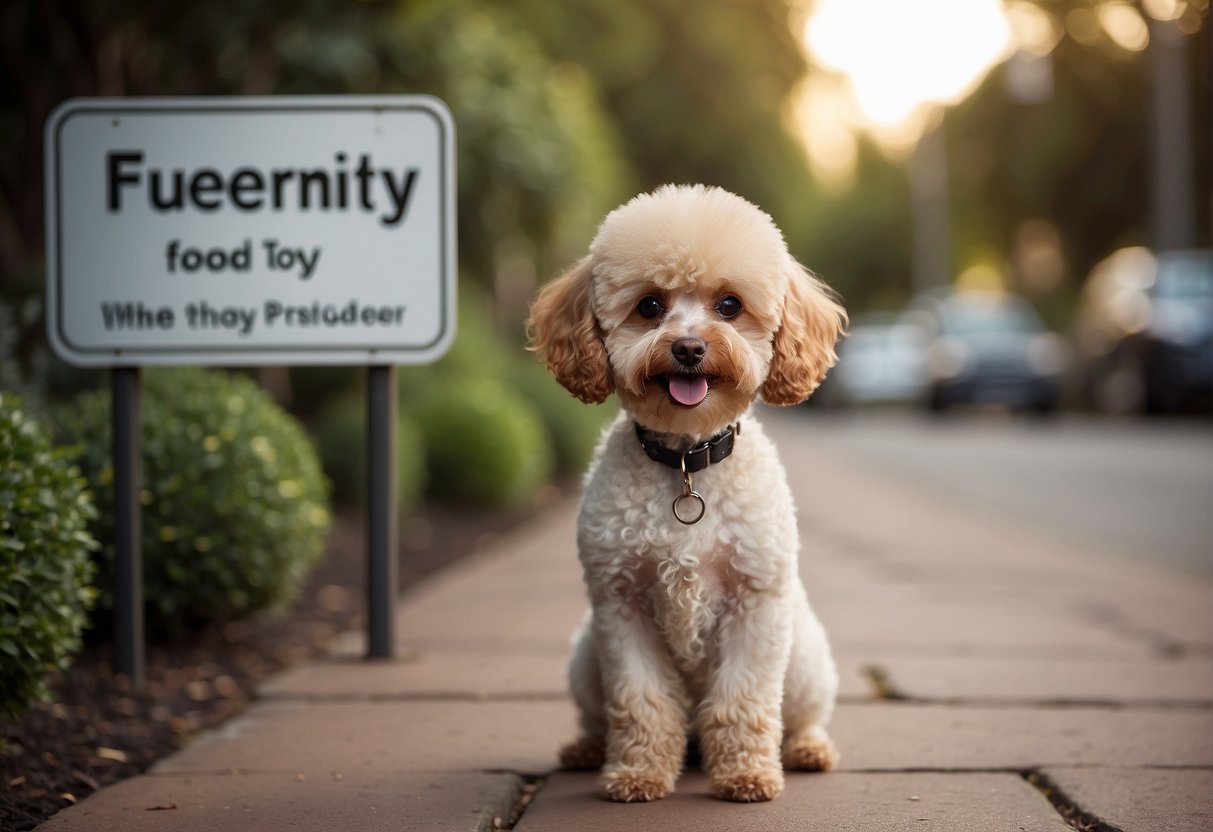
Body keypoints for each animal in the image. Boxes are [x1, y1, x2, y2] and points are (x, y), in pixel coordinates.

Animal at [526, 185, 849, 805]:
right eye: (650, 305)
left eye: (729, 304)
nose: (689, 348)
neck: (685, 464)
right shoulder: (622, 607)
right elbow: (640, 703)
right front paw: (638, 774)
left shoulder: (754, 605)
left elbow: (743, 701)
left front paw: (746, 775)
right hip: (584, 659)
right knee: (597, 715)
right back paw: (586, 749)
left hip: (805, 660)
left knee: (803, 715)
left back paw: (807, 750)